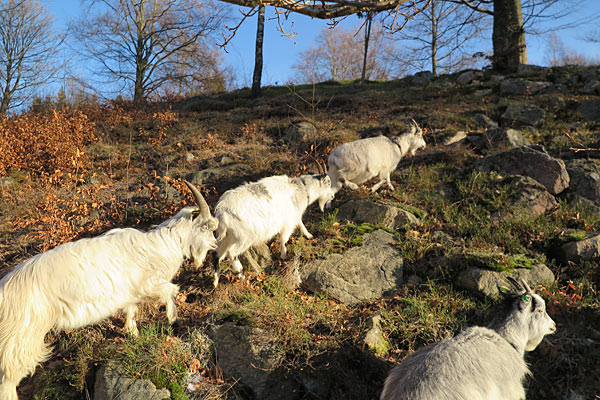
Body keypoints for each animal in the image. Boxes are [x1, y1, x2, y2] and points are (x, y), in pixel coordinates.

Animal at [0, 182, 218, 400]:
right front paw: (173, 321)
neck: (160, 245)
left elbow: (131, 310)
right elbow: (170, 292)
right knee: (8, 378)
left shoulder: (130, 292)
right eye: (204, 226)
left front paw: (132, 333)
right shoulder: (148, 283)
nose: (215, 245)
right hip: (21, 337)